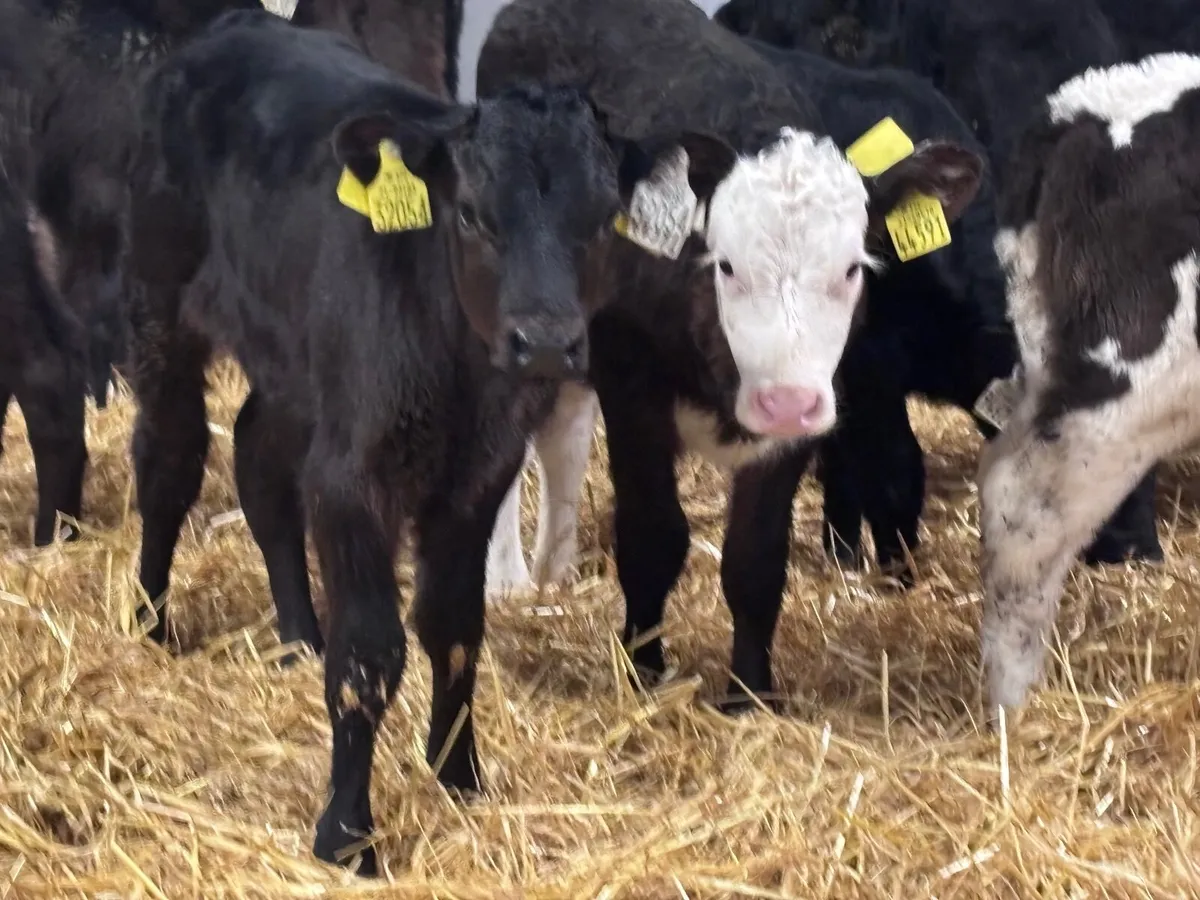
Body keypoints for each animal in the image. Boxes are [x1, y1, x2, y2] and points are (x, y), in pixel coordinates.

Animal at [126, 6, 738, 873]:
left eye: (600, 221)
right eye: (474, 214)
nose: (544, 344)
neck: (456, 371)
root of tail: (230, 33)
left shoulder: (476, 474)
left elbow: (454, 630)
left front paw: (458, 777)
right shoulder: (354, 480)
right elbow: (369, 655)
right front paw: (346, 832)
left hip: (299, 365)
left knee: (257, 457)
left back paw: (296, 633)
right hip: (160, 302)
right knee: (169, 457)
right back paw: (150, 622)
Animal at [478, 0, 985, 707]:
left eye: (853, 268)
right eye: (725, 264)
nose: (785, 400)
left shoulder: (803, 420)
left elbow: (755, 559)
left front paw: (749, 694)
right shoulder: (633, 392)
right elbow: (653, 537)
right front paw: (645, 671)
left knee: (563, 438)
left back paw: (553, 569)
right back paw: (505, 581)